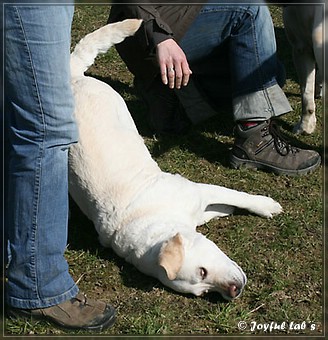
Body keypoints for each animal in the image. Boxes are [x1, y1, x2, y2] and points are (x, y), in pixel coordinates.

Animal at [68, 19, 282, 300]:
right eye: (203, 289)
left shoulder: (198, 190)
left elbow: (241, 197)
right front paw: (229, 210)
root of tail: (72, 76)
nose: (233, 292)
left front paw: (266, 205)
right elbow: (222, 206)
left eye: (202, 271)